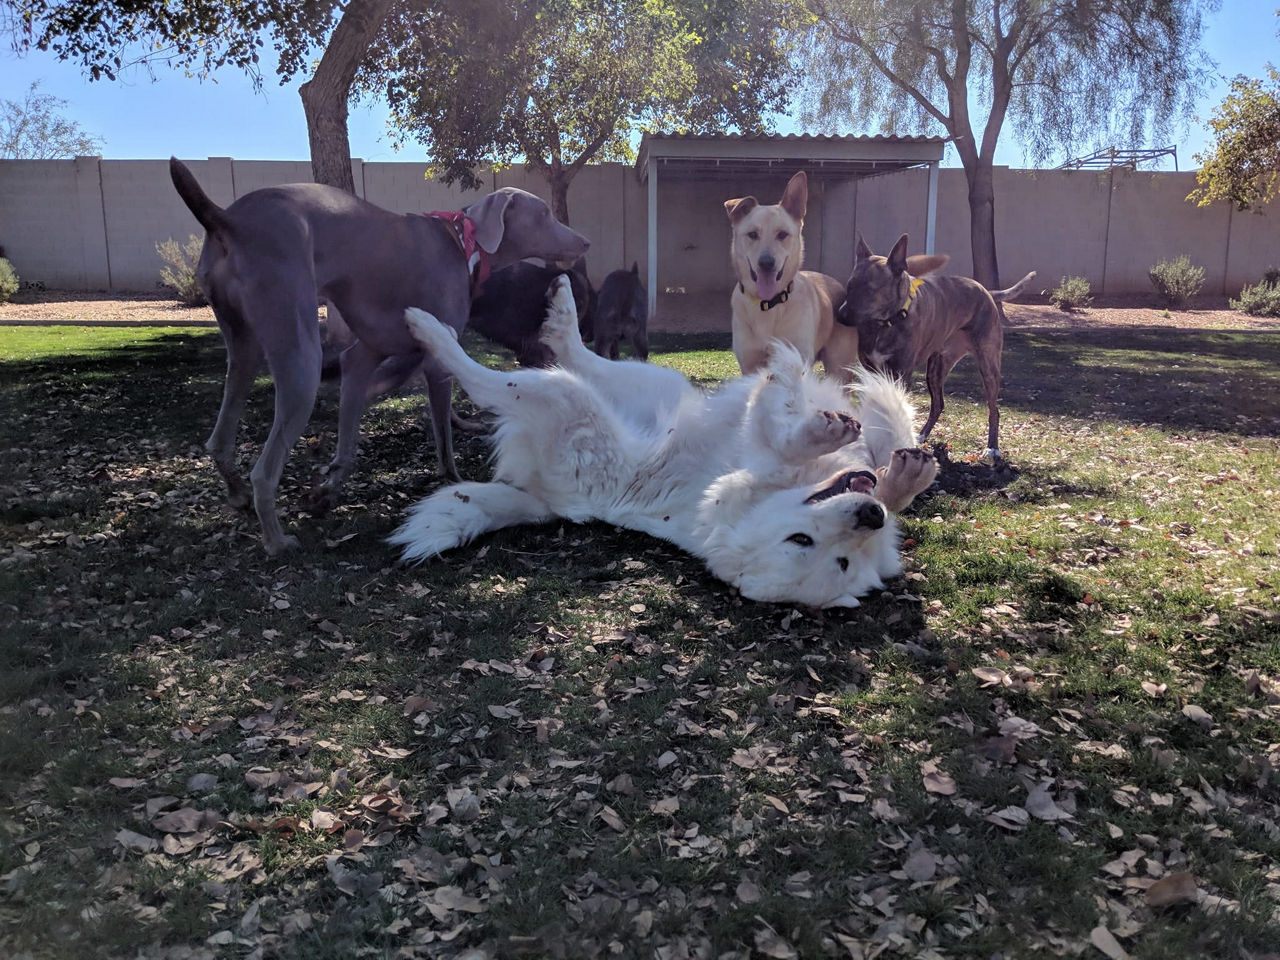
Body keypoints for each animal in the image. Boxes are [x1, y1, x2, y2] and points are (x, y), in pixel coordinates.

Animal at [170, 158, 588, 555]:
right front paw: (454, 482)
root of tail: (228, 219)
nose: (584, 242)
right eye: (543, 214)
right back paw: (276, 541)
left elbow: (349, 443)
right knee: (264, 471)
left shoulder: (362, 358)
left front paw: (326, 493)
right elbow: (444, 443)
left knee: (219, 438)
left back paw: (238, 494)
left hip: (243, 345)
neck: (463, 243)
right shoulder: (436, 362)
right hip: (299, 354)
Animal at [384, 277, 936, 609]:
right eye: (800, 541)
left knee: (501, 377)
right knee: (554, 360)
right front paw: (887, 461)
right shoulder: (765, 447)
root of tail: (544, 499)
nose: (870, 517)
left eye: (841, 560)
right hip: (635, 386)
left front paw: (891, 472)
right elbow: (818, 428)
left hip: (570, 399)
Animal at [721, 171, 860, 381]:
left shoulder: (794, 362)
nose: (766, 263)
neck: (768, 306)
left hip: (838, 368)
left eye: (782, 234)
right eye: (752, 234)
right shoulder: (750, 365)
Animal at [834, 231, 1034, 460]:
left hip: (988, 365)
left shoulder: (901, 374)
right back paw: (921, 435)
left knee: (994, 409)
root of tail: (986, 290)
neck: (885, 323)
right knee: (938, 404)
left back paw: (992, 447)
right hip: (936, 368)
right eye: (850, 285)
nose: (840, 315)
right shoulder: (870, 371)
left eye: (870, 290)